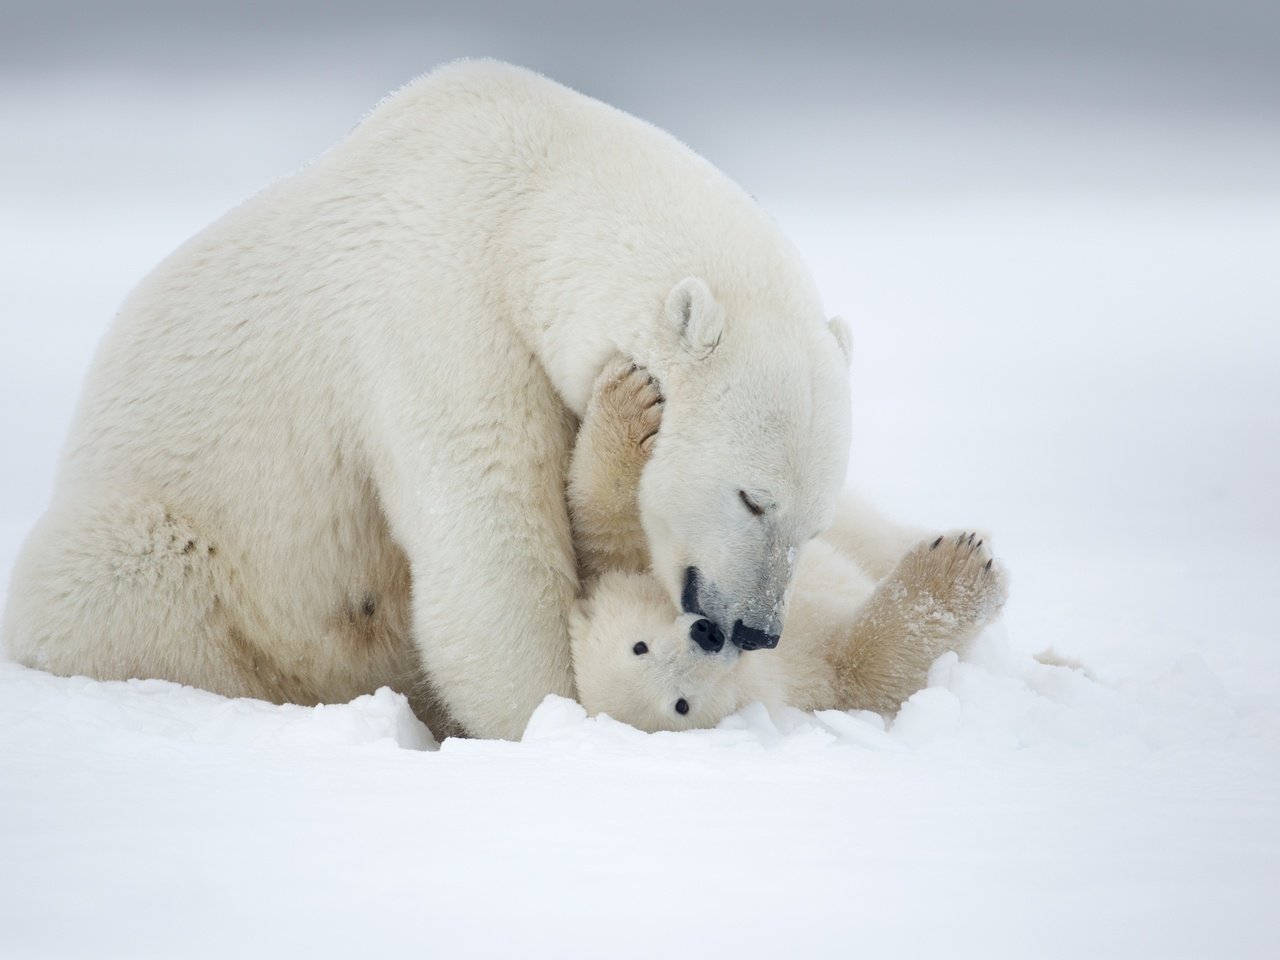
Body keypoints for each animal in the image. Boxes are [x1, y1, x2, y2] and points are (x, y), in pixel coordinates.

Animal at [5, 60, 860, 742]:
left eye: (812, 523)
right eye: (752, 498)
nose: (755, 628)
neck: (528, 197)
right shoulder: (439, 315)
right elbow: (490, 542)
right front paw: (556, 715)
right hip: (166, 542)